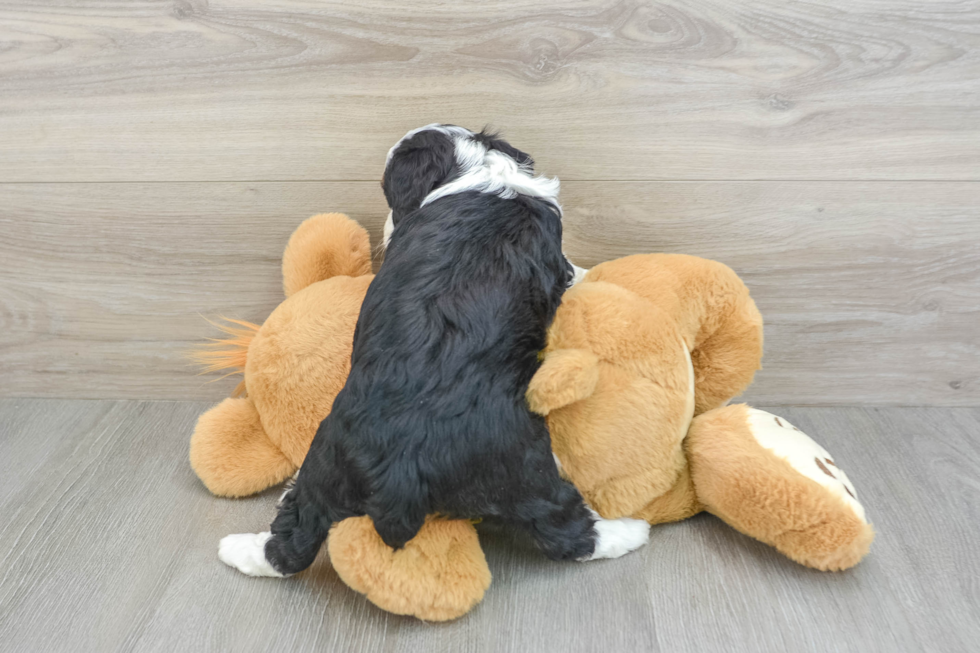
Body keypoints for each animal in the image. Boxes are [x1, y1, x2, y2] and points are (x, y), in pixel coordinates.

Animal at [223, 125, 652, 572]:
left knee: (292, 538)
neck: (474, 170)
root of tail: (402, 463)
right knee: (566, 530)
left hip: (326, 462)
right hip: (522, 469)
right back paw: (630, 531)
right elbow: (570, 270)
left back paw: (240, 548)